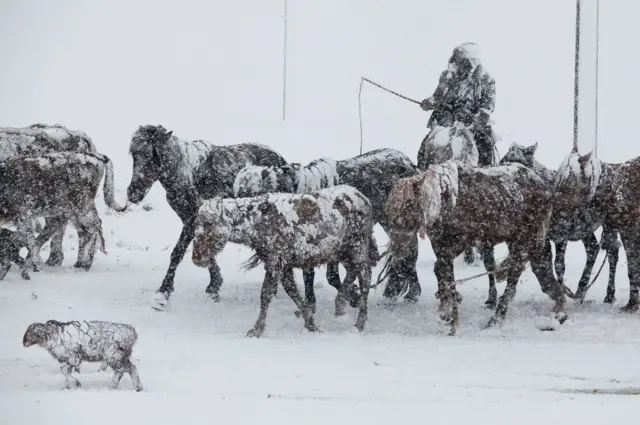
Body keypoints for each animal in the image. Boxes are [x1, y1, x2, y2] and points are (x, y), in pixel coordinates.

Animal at [124, 124, 288, 311]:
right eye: (134, 155)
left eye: (153, 154)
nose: (133, 193)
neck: (189, 175)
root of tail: (281, 160)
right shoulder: (193, 222)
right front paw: (214, 285)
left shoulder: (192, 221)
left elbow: (177, 253)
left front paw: (163, 293)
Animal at [232, 148, 421, 305]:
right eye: (237, 194)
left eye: (251, 194)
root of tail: (410, 164)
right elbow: (310, 274)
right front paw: (311, 301)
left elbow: (331, 276)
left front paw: (352, 296)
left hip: (394, 222)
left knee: (408, 253)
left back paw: (408, 292)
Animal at [383, 160, 568, 335]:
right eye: (391, 212)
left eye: (410, 207)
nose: (397, 249)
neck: (443, 203)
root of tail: (542, 185)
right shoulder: (442, 248)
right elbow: (441, 273)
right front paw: (445, 312)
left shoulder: (453, 246)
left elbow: (449, 281)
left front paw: (453, 324)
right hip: (526, 242)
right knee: (542, 270)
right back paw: (559, 311)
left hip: (523, 241)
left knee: (514, 279)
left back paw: (497, 320)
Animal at [501, 143, 621, 304]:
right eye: (502, 160)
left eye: (521, 163)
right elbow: (540, 265)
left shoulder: (560, 235)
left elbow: (558, 265)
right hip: (585, 228)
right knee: (593, 248)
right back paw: (581, 291)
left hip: (609, 224)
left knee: (612, 253)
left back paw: (609, 294)